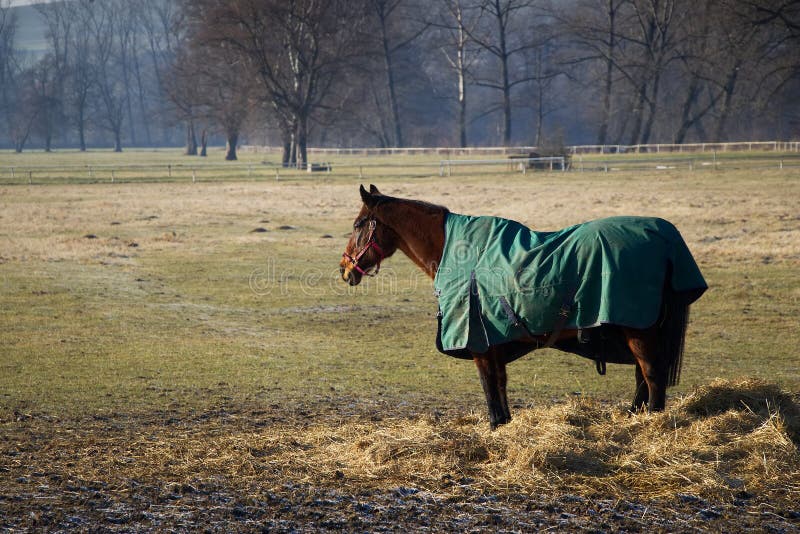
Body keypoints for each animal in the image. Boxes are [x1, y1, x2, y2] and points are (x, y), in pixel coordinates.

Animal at [340, 185, 707, 430]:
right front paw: (504, 426)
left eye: (358, 224)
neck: (457, 253)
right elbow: (500, 388)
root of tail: (665, 239)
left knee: (652, 377)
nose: (344, 269)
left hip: (639, 330)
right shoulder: (494, 344)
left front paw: (495, 427)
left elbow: (490, 391)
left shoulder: (479, 344)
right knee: (642, 378)